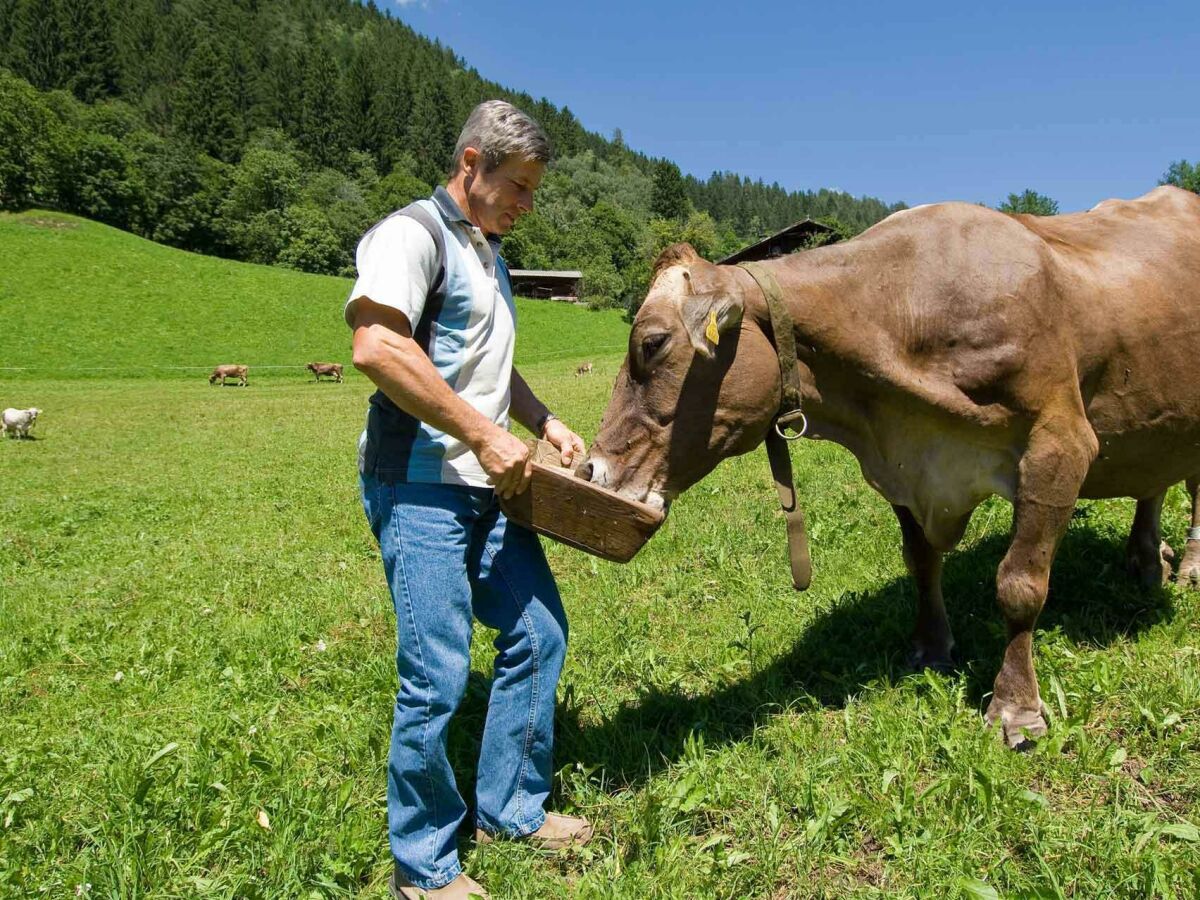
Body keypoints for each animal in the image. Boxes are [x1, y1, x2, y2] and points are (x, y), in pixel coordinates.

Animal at [580, 187, 1200, 748]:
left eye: (652, 344)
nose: (592, 469)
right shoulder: (901, 470)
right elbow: (921, 562)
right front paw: (931, 648)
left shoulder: (1060, 444)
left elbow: (1020, 586)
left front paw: (1016, 710)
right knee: (1153, 483)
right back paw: (1147, 560)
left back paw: (1188, 567)